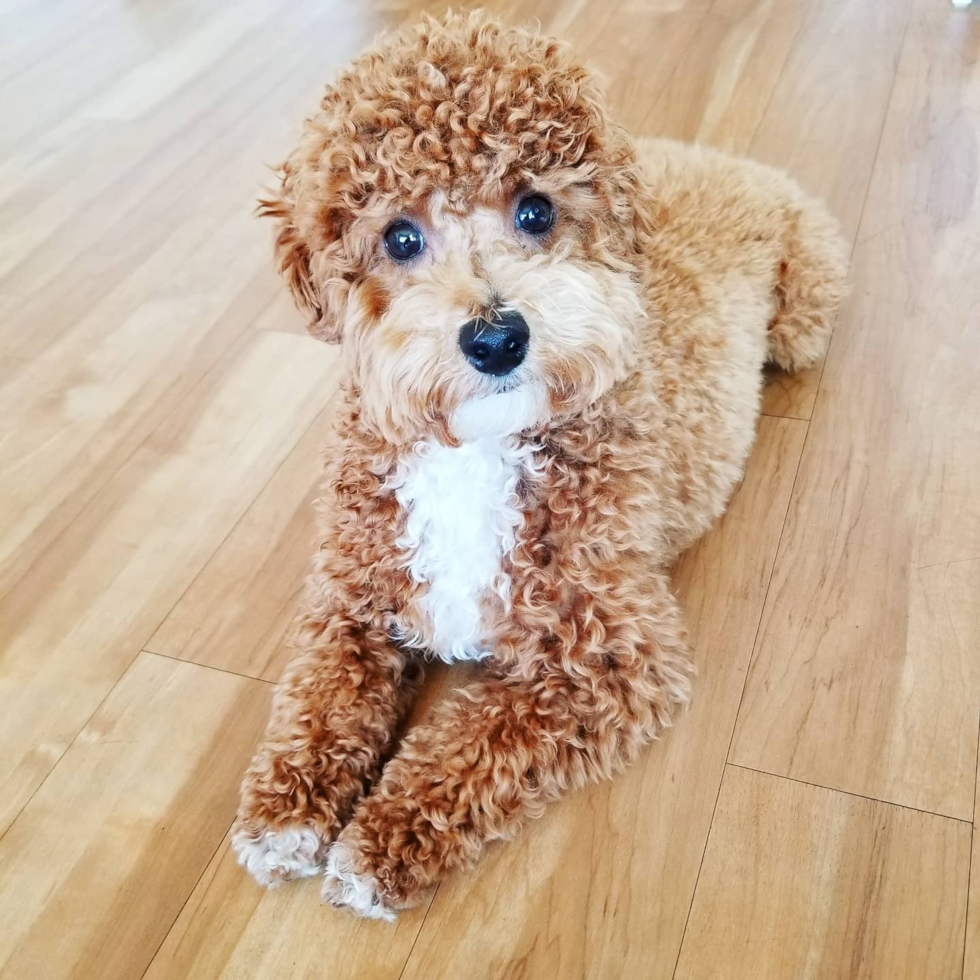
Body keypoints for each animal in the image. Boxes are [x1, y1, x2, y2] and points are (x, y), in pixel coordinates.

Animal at [232, 9, 848, 920]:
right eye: (400, 236)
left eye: (535, 210)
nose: (496, 337)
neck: (477, 446)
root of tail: (725, 159)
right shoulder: (352, 598)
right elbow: (318, 694)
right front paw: (285, 811)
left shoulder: (613, 660)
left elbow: (478, 743)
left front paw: (378, 846)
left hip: (805, 306)